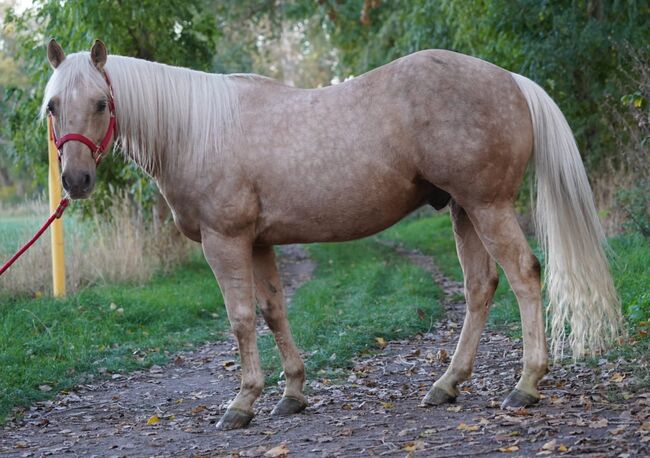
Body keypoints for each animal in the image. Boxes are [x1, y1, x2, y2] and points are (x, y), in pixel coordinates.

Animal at [43, 39, 620, 430]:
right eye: (52, 105)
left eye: (100, 102)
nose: (75, 181)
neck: (198, 130)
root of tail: (510, 80)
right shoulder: (259, 243)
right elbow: (274, 311)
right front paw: (292, 394)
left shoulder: (225, 241)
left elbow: (241, 318)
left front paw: (242, 403)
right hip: (464, 211)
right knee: (480, 287)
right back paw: (447, 385)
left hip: (488, 206)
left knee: (524, 274)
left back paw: (526, 385)